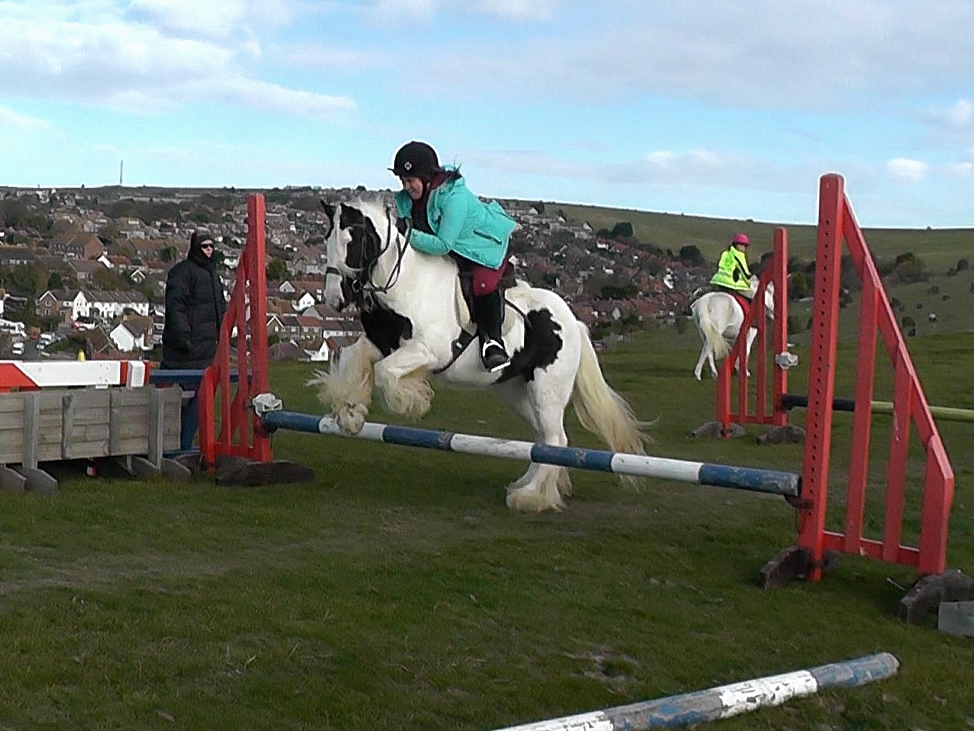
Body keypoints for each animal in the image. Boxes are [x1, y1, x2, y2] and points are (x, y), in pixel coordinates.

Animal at [312, 196, 649, 513]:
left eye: (353, 241)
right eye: (327, 239)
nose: (335, 299)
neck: (405, 285)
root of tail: (574, 322)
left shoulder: (428, 351)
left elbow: (384, 372)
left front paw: (411, 401)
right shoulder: (379, 343)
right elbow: (353, 358)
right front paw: (351, 415)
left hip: (548, 389)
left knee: (556, 439)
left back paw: (530, 498)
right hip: (516, 391)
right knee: (545, 437)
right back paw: (527, 485)